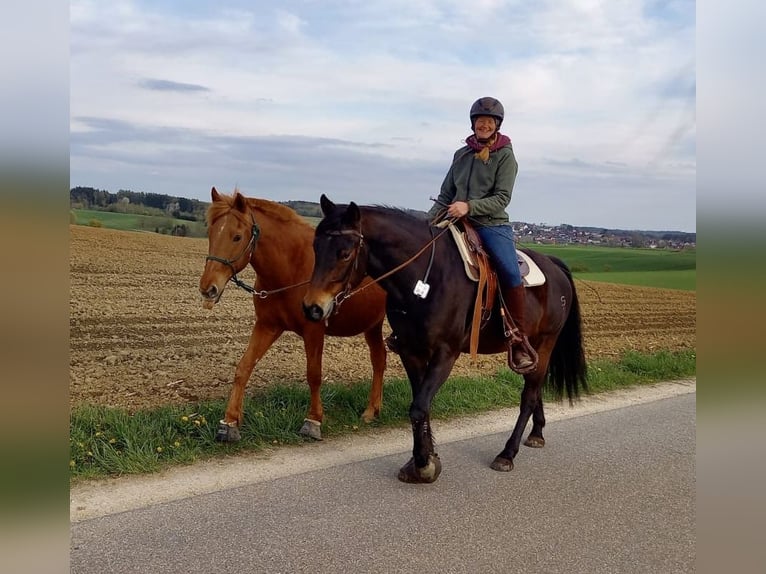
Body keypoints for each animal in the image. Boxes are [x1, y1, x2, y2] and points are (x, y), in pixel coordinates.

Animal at [199, 187, 388, 441]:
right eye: (210, 233)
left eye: (237, 236)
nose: (208, 288)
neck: (291, 267)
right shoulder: (267, 325)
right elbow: (243, 368)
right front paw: (229, 422)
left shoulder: (314, 330)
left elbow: (314, 374)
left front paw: (313, 421)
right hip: (373, 325)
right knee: (379, 359)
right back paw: (372, 410)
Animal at [302, 195, 587, 483]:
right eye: (315, 247)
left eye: (345, 253)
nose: (312, 307)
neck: (425, 279)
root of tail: (554, 264)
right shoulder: (411, 351)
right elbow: (421, 406)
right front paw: (423, 459)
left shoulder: (445, 353)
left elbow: (419, 407)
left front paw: (423, 464)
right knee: (535, 389)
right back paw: (537, 433)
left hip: (546, 342)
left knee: (529, 395)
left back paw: (507, 454)